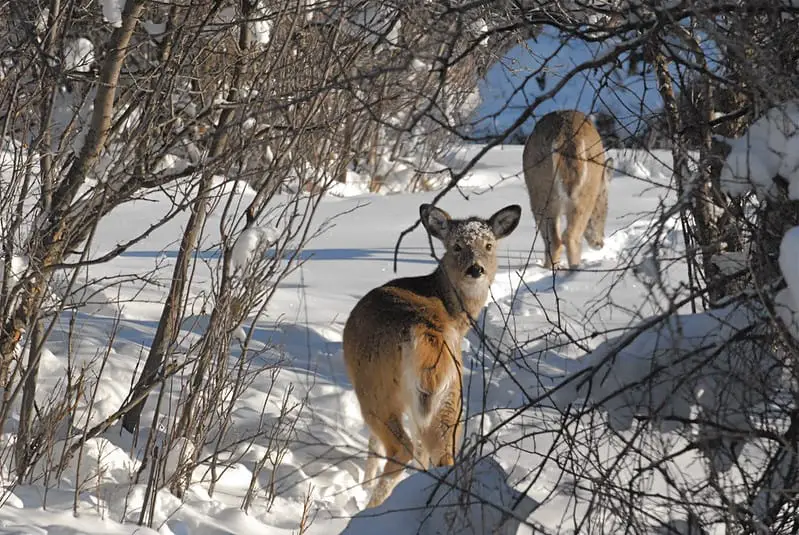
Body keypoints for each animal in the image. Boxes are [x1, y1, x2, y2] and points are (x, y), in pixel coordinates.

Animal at [342, 203, 520, 508]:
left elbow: (375, 445)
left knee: (400, 448)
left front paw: (364, 484)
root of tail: (428, 332)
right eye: (457, 246)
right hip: (451, 393)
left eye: (489, 245)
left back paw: (370, 508)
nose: (476, 269)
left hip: (375, 386)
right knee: (443, 454)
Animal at [520, 109, 616, 270]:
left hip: (539, 189)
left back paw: (550, 268)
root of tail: (563, 135)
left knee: (553, 240)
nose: (600, 243)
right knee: (569, 236)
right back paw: (575, 268)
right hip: (584, 192)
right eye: (606, 205)